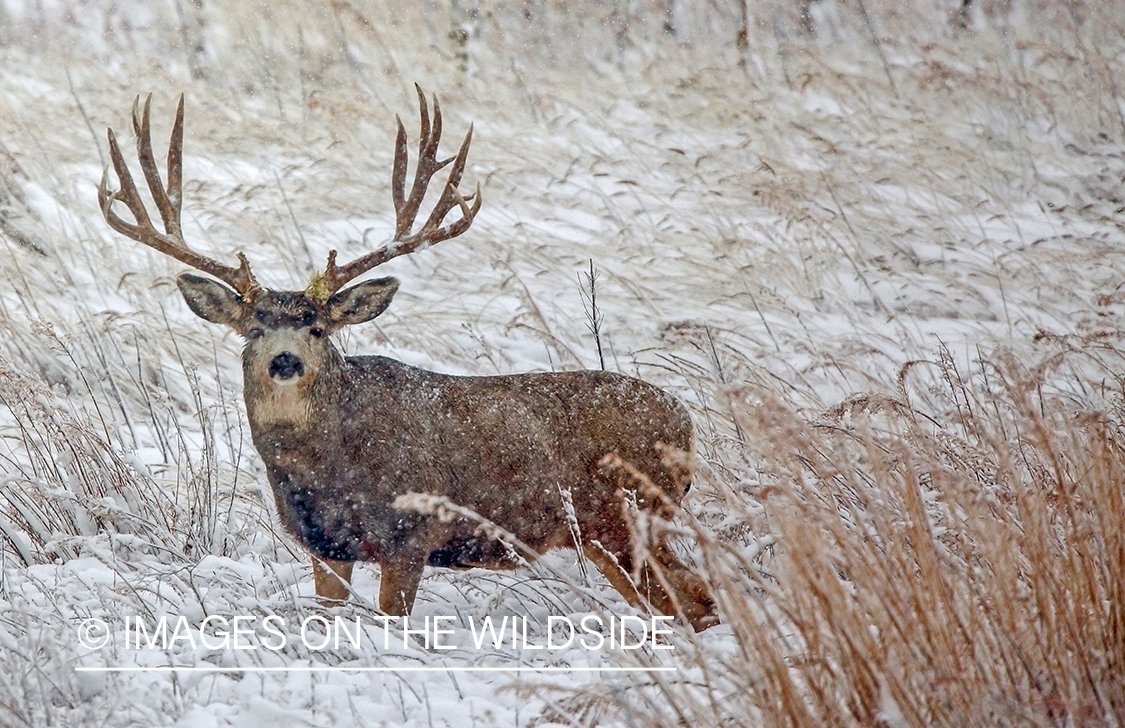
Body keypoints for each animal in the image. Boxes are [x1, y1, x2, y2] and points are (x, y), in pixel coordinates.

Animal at [92, 92, 715, 630]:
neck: (323, 470)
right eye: (254, 329)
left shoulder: (410, 534)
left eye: (317, 327)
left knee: (696, 598)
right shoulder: (325, 545)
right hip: (610, 531)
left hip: (629, 514)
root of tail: (686, 422)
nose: (285, 361)